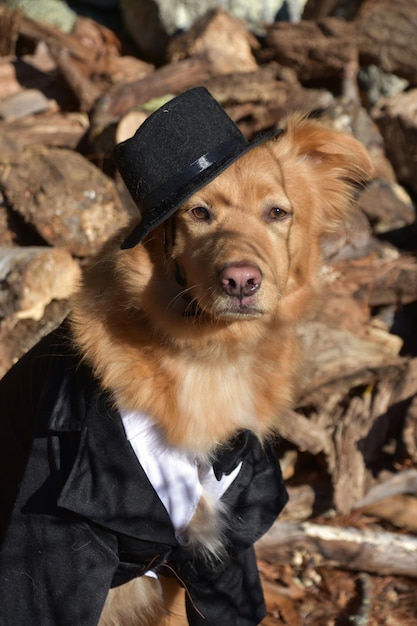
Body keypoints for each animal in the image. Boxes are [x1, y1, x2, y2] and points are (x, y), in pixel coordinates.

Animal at [0, 84, 370, 624]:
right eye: (198, 213)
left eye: (277, 213)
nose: (241, 281)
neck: (209, 357)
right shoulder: (60, 534)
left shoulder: (218, 550)